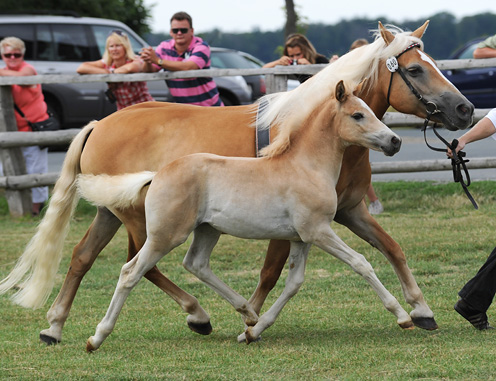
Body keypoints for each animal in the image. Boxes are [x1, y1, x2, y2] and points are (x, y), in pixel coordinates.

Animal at [80, 80, 404, 350]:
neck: (306, 166)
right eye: (357, 115)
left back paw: (247, 313)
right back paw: (96, 338)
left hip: (207, 230)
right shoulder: (318, 231)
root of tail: (157, 174)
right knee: (131, 272)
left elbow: (294, 283)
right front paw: (402, 315)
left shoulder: (301, 238)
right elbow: (360, 263)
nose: (395, 141)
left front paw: (253, 330)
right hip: (165, 235)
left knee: (196, 264)